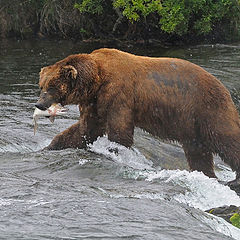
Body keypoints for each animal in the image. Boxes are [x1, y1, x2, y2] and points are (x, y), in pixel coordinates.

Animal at [34, 47, 240, 189]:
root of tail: (225, 89)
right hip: (191, 125)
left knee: (225, 138)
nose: (39, 104)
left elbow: (119, 132)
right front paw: (49, 146)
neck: (96, 80)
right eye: (41, 85)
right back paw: (207, 175)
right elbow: (84, 130)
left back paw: (234, 179)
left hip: (207, 109)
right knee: (197, 151)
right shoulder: (94, 102)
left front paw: (115, 152)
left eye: (52, 87)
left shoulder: (118, 94)